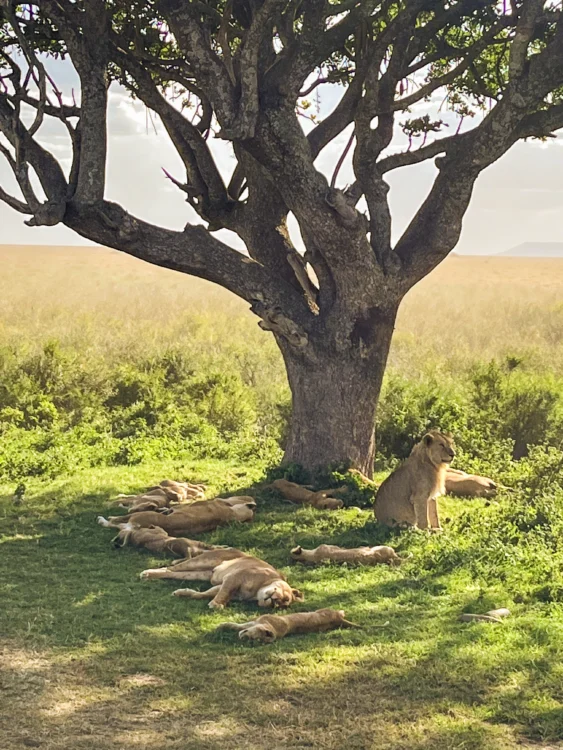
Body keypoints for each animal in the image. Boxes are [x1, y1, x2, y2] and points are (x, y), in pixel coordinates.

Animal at [140, 548, 304, 610]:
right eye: (284, 596)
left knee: (172, 573)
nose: (274, 600)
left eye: (280, 604)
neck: (257, 592)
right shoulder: (233, 577)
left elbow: (202, 594)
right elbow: (223, 593)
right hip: (203, 561)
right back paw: (147, 573)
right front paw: (216, 605)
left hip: (199, 573)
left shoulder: (224, 586)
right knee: (170, 568)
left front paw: (182, 593)